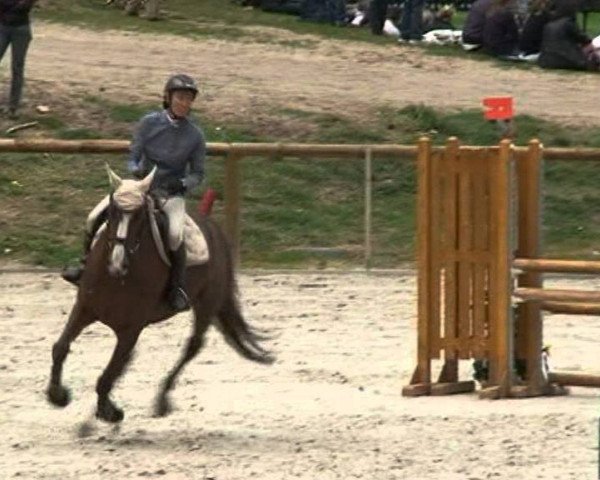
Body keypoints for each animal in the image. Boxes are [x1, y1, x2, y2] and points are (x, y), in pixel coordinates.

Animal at [47, 167, 274, 422]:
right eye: (112, 213)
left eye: (139, 217)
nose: (116, 264)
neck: (116, 279)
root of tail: (214, 230)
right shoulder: (85, 309)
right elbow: (60, 348)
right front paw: (57, 395)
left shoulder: (130, 330)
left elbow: (109, 373)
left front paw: (109, 410)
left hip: (207, 304)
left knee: (193, 346)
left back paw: (162, 400)